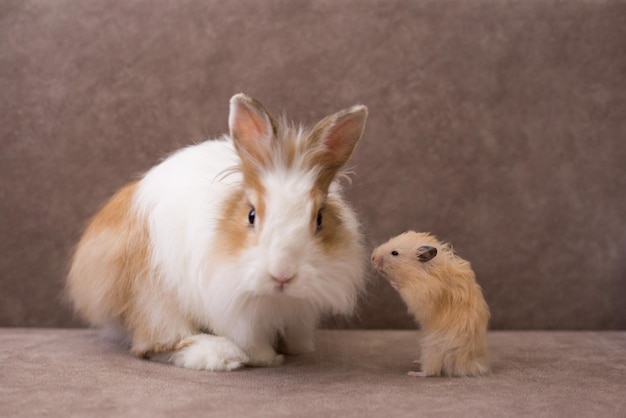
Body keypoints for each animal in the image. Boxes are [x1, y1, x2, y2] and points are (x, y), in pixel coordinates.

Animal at [67, 93, 370, 370]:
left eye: (319, 219)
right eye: (251, 215)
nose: (282, 275)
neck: (275, 298)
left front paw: (299, 349)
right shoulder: (233, 310)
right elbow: (252, 342)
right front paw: (267, 358)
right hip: (152, 295)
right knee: (155, 343)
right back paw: (221, 355)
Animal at [370, 230, 488, 378]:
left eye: (395, 253)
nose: (372, 257)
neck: (422, 270)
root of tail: (468, 365)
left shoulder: (424, 292)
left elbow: (406, 290)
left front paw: (394, 283)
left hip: (433, 347)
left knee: (431, 370)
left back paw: (414, 373)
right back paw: (416, 362)